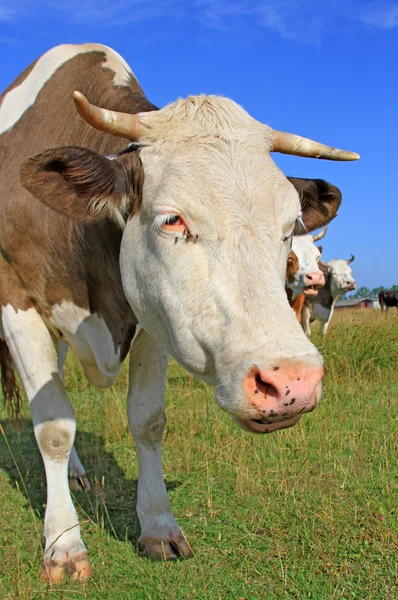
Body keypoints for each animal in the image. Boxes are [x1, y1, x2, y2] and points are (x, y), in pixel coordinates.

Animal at [0, 43, 360, 580]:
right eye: (173, 219)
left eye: (290, 224)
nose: (293, 381)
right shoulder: (17, 300)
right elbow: (54, 428)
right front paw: (64, 544)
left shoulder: (156, 320)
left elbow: (147, 421)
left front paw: (158, 526)